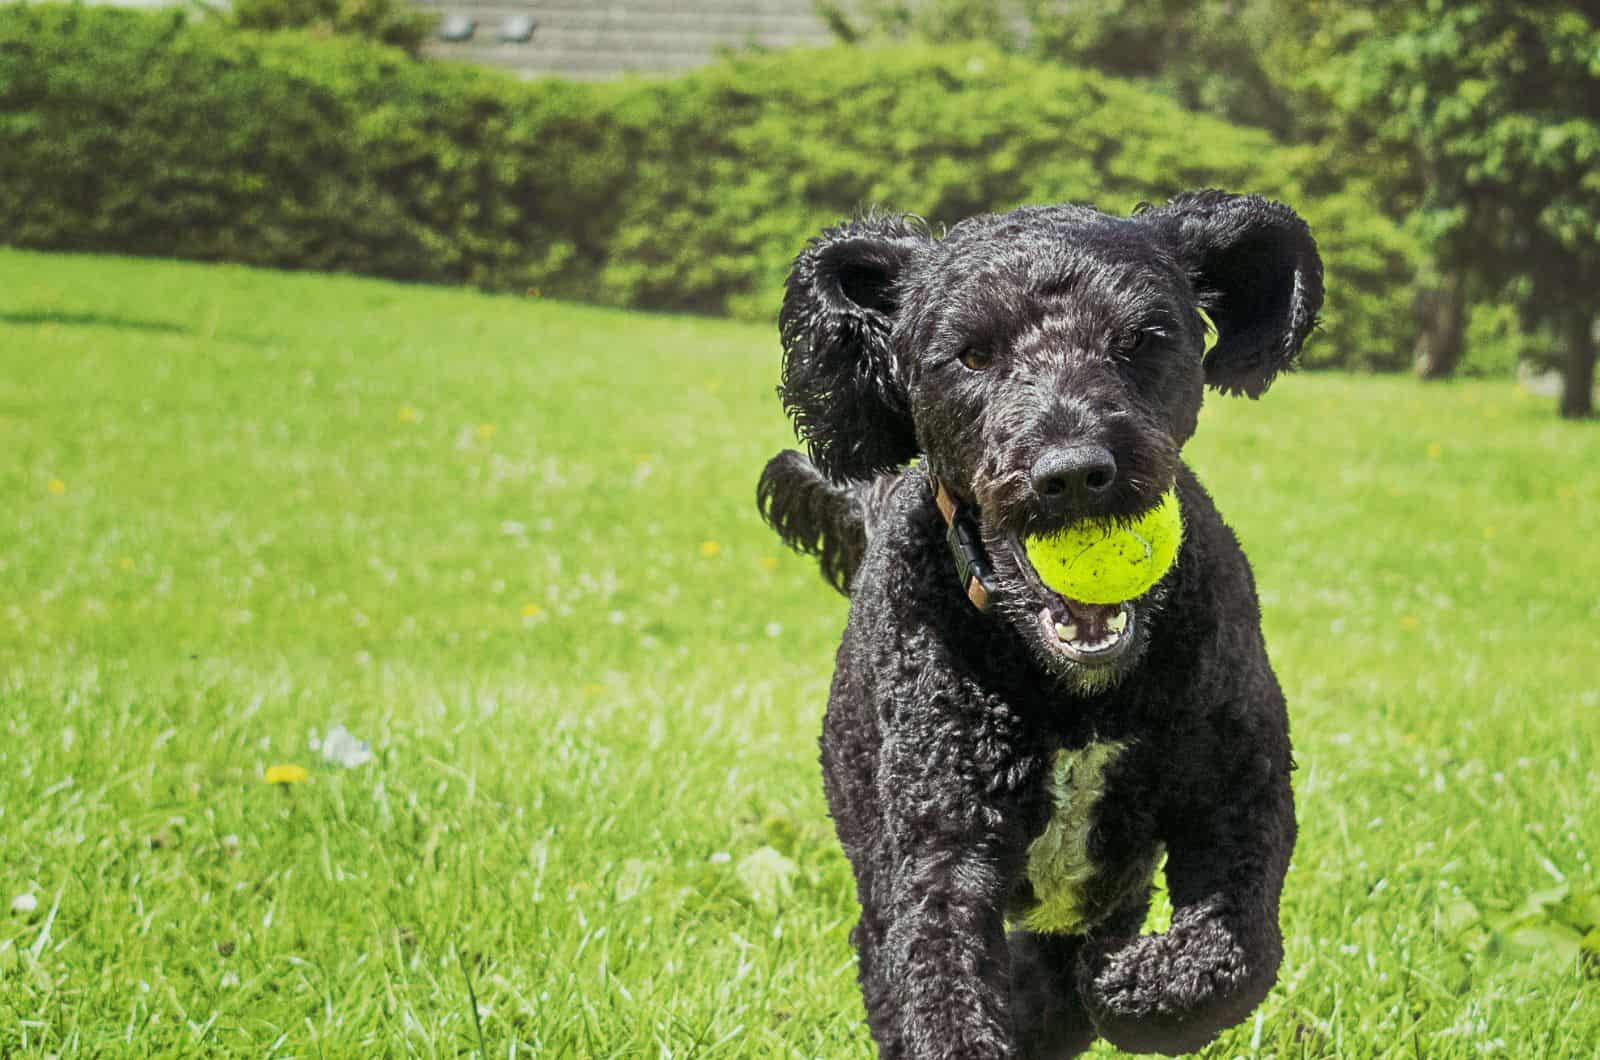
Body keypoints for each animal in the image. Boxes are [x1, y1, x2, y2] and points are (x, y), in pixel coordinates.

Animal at [761, 192, 1324, 1060]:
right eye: (972, 355)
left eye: (1142, 339)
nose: (1074, 472)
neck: (1074, 698)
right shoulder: (940, 847)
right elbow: (942, 990)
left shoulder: (1240, 787)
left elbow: (1230, 953)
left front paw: (1130, 985)